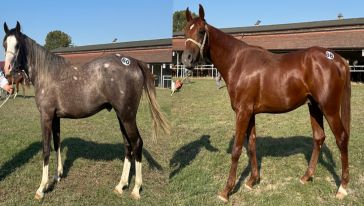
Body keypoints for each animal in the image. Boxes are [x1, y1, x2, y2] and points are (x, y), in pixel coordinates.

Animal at [182, 4, 350, 203]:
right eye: (185, 32)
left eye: (201, 31)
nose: (186, 59)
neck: (238, 62)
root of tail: (337, 59)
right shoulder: (250, 113)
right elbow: (252, 145)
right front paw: (252, 180)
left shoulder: (243, 112)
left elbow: (237, 150)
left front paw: (226, 191)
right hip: (314, 107)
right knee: (319, 137)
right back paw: (306, 176)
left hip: (329, 108)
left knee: (341, 138)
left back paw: (342, 188)